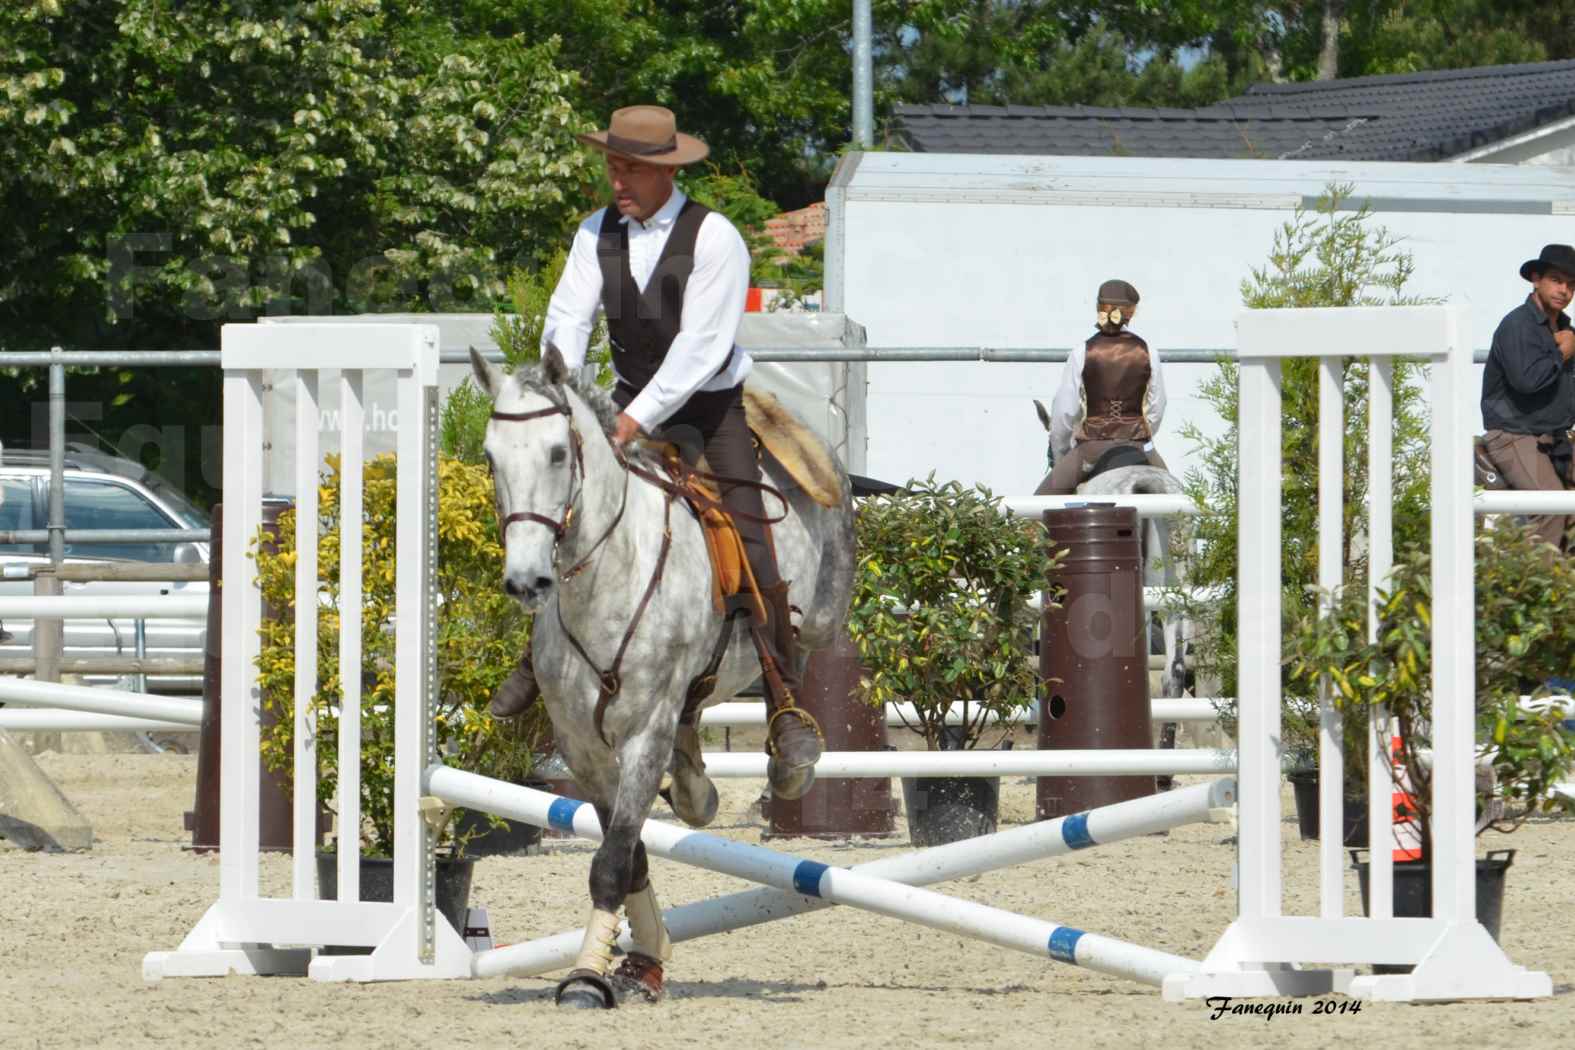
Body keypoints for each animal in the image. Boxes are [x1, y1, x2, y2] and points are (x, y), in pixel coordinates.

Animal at [472, 349, 856, 1007]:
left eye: (557, 453)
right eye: (491, 456)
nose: (526, 582)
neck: (608, 578)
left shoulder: (643, 736)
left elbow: (610, 863)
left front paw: (585, 978)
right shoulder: (583, 750)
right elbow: (628, 858)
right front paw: (641, 960)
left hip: (822, 615)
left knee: (794, 651)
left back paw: (790, 753)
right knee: (696, 721)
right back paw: (696, 785)